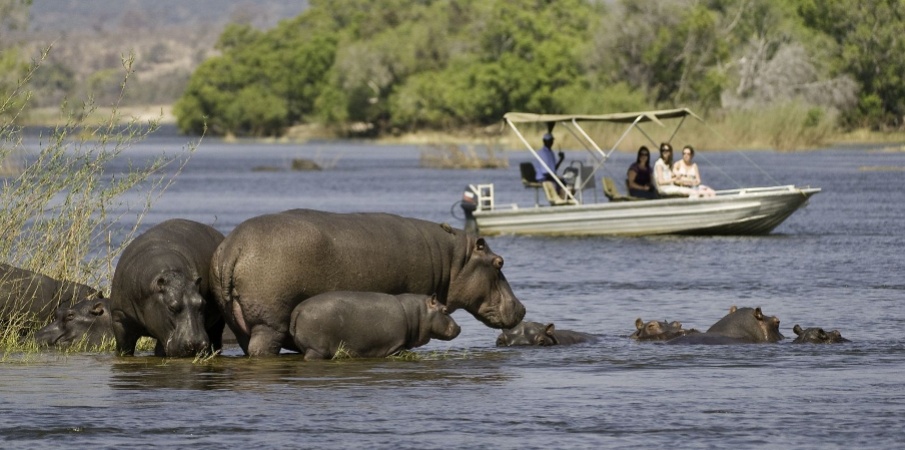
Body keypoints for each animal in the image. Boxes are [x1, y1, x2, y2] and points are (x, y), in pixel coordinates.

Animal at [290, 292, 460, 362]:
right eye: (445, 310)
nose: (459, 327)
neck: (418, 313)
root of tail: (298, 309)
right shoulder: (395, 346)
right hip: (317, 350)